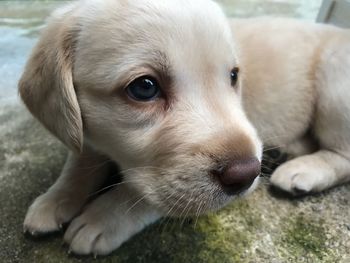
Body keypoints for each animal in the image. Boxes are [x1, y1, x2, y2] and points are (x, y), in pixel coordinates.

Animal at [18, 0, 350, 258]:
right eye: (144, 87)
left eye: (233, 76)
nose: (247, 174)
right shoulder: (85, 134)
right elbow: (79, 162)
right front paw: (56, 198)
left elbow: (144, 195)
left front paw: (103, 217)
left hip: (334, 83)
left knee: (343, 155)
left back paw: (302, 170)